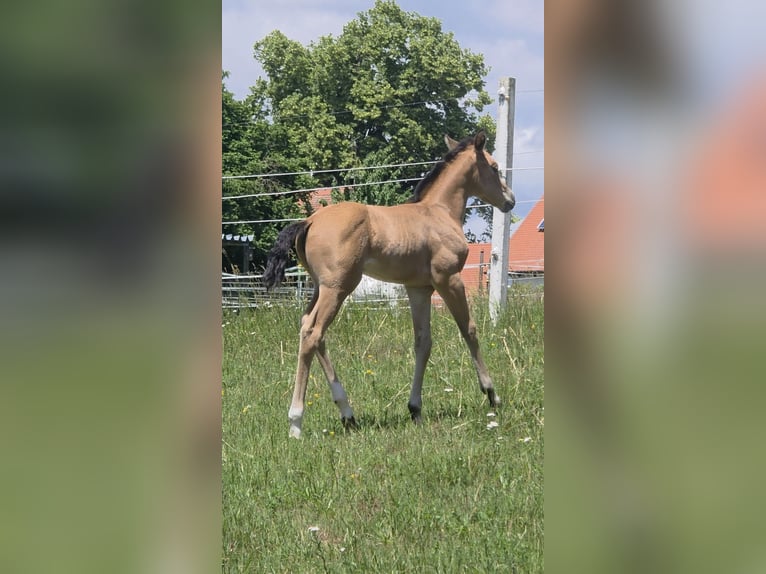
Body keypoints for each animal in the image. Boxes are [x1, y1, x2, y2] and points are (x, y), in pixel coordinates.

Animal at [262, 131, 515, 438]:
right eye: (494, 166)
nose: (510, 200)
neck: (439, 213)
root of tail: (309, 221)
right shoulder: (449, 280)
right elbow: (469, 330)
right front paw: (491, 394)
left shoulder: (419, 289)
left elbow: (423, 342)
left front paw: (415, 408)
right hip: (338, 288)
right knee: (313, 332)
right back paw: (296, 422)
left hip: (320, 287)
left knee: (310, 329)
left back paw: (348, 413)